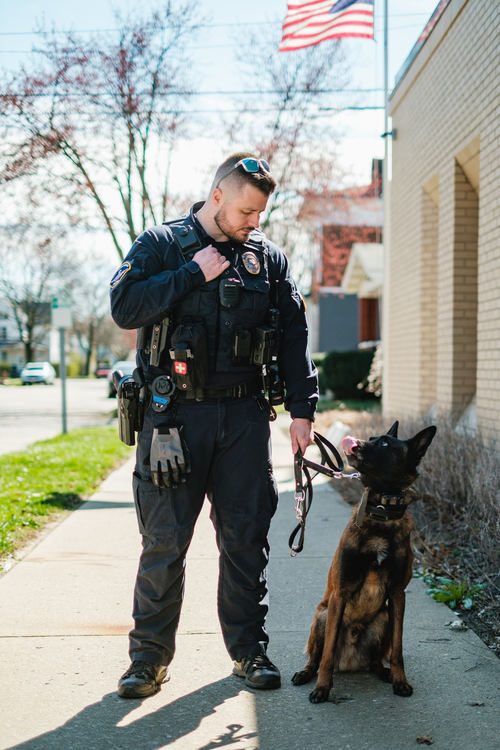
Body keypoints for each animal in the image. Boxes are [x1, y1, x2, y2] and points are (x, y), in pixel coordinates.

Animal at [292, 424, 436, 704]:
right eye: (371, 438)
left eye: (385, 444)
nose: (354, 443)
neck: (381, 512)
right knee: (316, 656)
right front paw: (322, 688)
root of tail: (350, 661)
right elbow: (326, 655)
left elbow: (398, 649)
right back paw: (306, 674)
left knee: (376, 660)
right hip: (322, 616)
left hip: (384, 618)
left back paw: (384, 672)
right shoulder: (340, 593)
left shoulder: (397, 594)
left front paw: (400, 681)